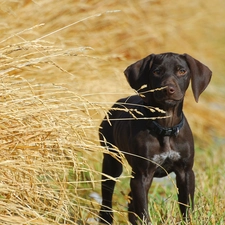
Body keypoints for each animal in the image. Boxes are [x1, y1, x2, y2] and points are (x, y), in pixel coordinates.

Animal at [98, 52, 211, 223]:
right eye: (157, 71)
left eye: (182, 71)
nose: (168, 89)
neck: (166, 128)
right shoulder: (142, 176)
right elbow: (144, 213)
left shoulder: (186, 173)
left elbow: (187, 208)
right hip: (112, 160)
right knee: (107, 196)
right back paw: (106, 218)